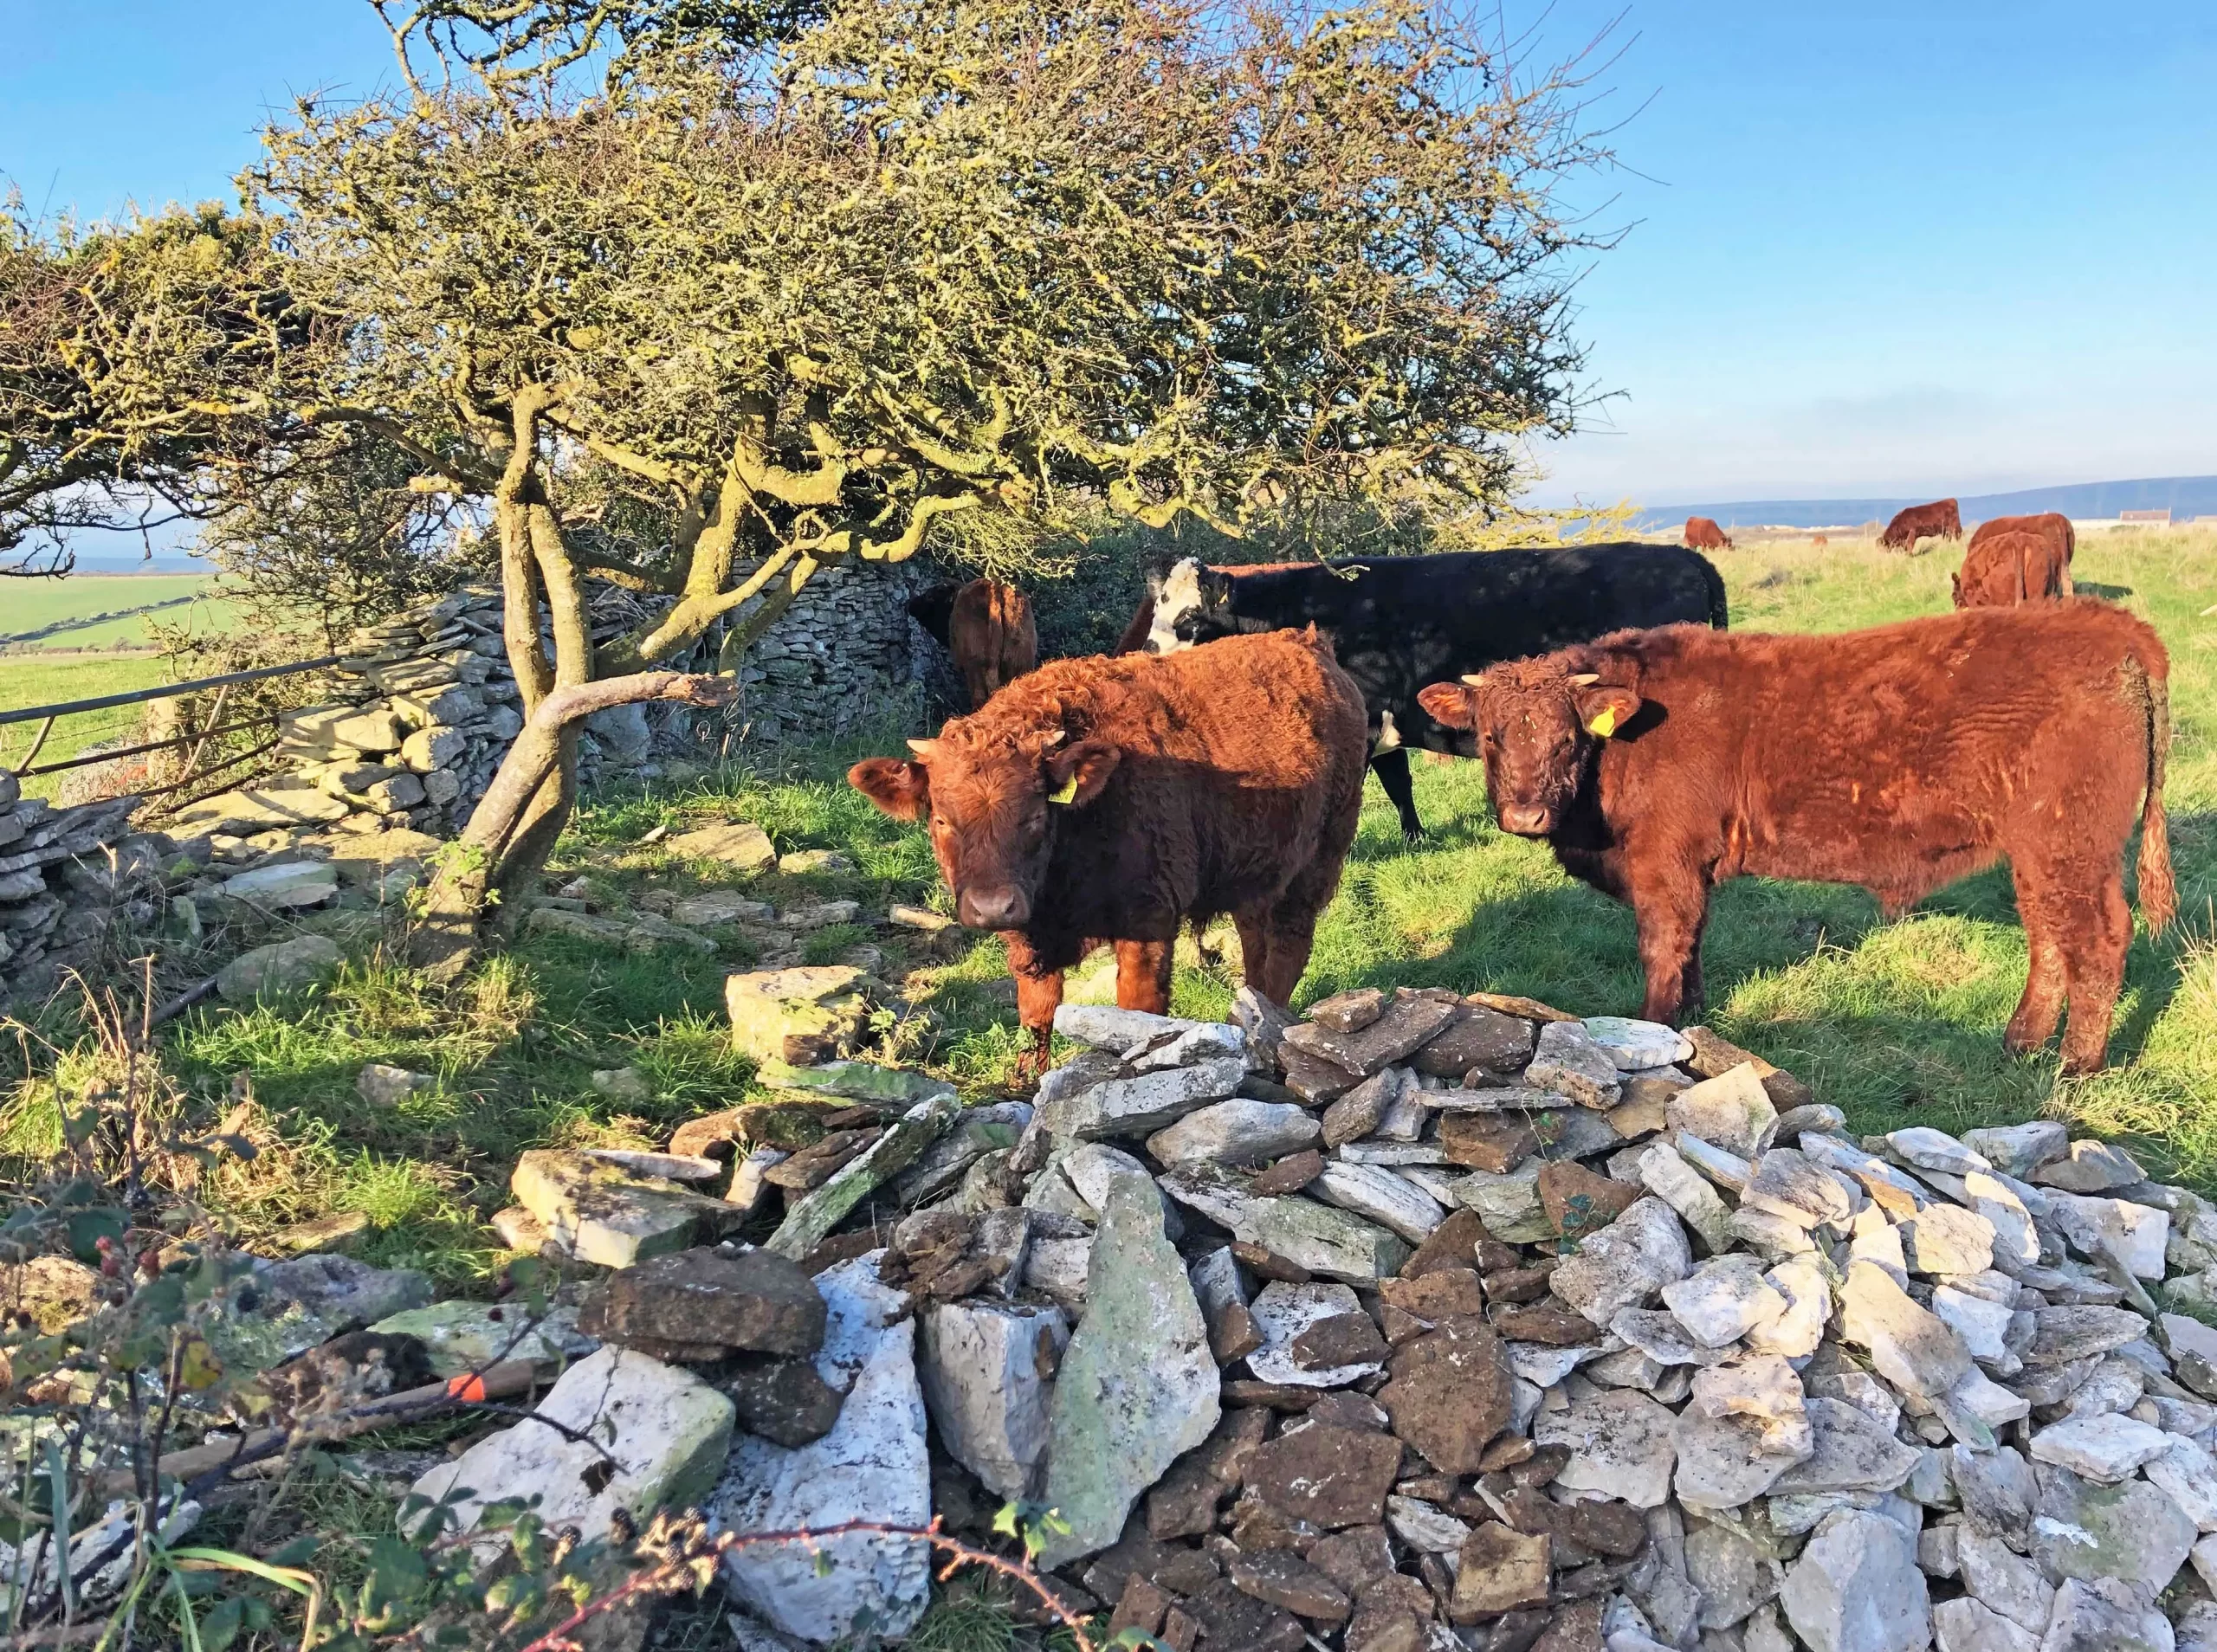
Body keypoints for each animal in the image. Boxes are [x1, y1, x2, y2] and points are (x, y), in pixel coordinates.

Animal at [849, 628, 1368, 1073]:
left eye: (1035, 815)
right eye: (941, 819)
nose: (994, 907)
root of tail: (1308, 642)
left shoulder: (1149, 921)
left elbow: (1137, 1012)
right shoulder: (1030, 942)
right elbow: (1037, 1017)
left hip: (1316, 864)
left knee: (1288, 948)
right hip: (1258, 873)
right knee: (1256, 945)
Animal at [1125, 544, 1729, 840]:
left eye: (1192, 618)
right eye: (1156, 607)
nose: (1146, 655)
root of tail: (1686, 557)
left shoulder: (1364, 720)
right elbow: (1400, 786)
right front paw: (1416, 839)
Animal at [1416, 600, 2172, 1073]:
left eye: (1569, 737)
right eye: (1489, 736)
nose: (1525, 816)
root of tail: (2113, 625)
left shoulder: (1664, 861)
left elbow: (1662, 946)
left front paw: (1654, 1027)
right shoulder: (1692, 867)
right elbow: (1692, 945)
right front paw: (1693, 1019)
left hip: (2069, 843)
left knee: (2097, 938)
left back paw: (2075, 1067)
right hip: (2039, 852)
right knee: (2050, 937)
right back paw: (2020, 1045)